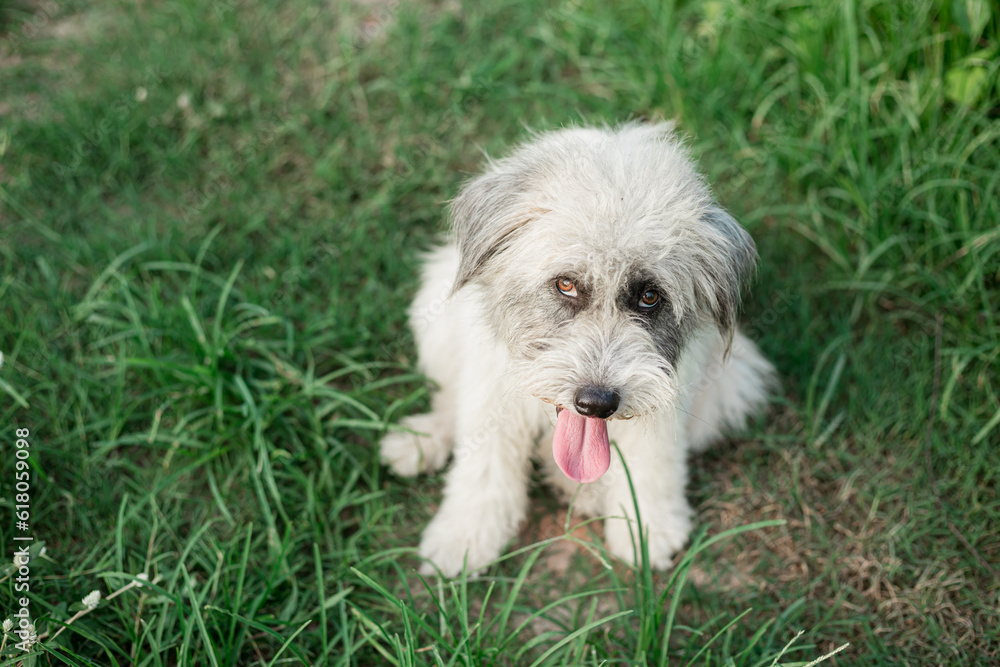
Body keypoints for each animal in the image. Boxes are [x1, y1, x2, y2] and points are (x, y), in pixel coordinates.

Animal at [378, 122, 776, 576]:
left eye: (650, 296)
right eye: (565, 283)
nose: (597, 403)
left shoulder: (667, 390)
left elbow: (653, 462)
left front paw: (648, 526)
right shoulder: (491, 388)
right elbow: (483, 467)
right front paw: (464, 537)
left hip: (731, 384)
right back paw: (422, 440)